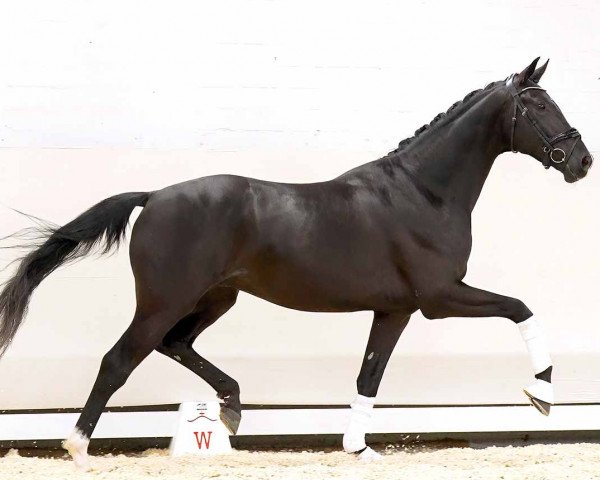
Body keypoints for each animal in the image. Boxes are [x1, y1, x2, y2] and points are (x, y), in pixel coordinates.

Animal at [0, 58, 592, 466]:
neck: (423, 192)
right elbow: (520, 307)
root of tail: (154, 196)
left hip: (215, 298)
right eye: (540, 106)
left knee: (176, 344)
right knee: (119, 360)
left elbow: (369, 376)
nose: (582, 161)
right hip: (164, 302)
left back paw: (232, 407)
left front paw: (359, 448)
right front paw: (541, 394)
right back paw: (77, 447)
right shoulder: (439, 298)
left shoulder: (395, 310)